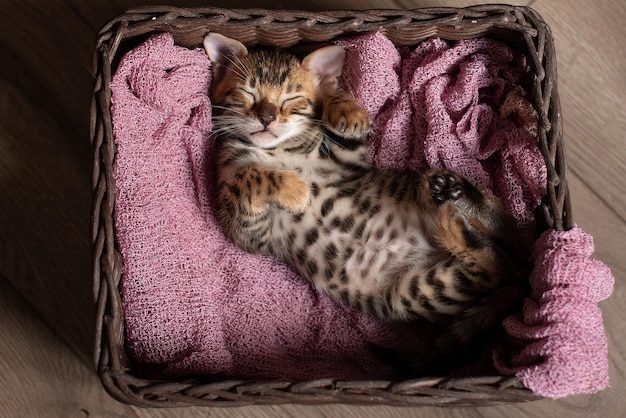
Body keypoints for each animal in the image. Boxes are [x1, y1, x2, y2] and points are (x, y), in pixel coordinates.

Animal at [204, 33, 528, 370]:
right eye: (247, 92)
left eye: (291, 99)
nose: (266, 118)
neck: (277, 150)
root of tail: (524, 273)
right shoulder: (247, 228)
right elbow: (251, 176)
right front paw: (297, 189)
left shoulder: (347, 165)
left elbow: (335, 110)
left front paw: (346, 110)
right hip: (416, 290)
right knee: (494, 263)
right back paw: (450, 215)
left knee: (502, 240)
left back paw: (455, 195)